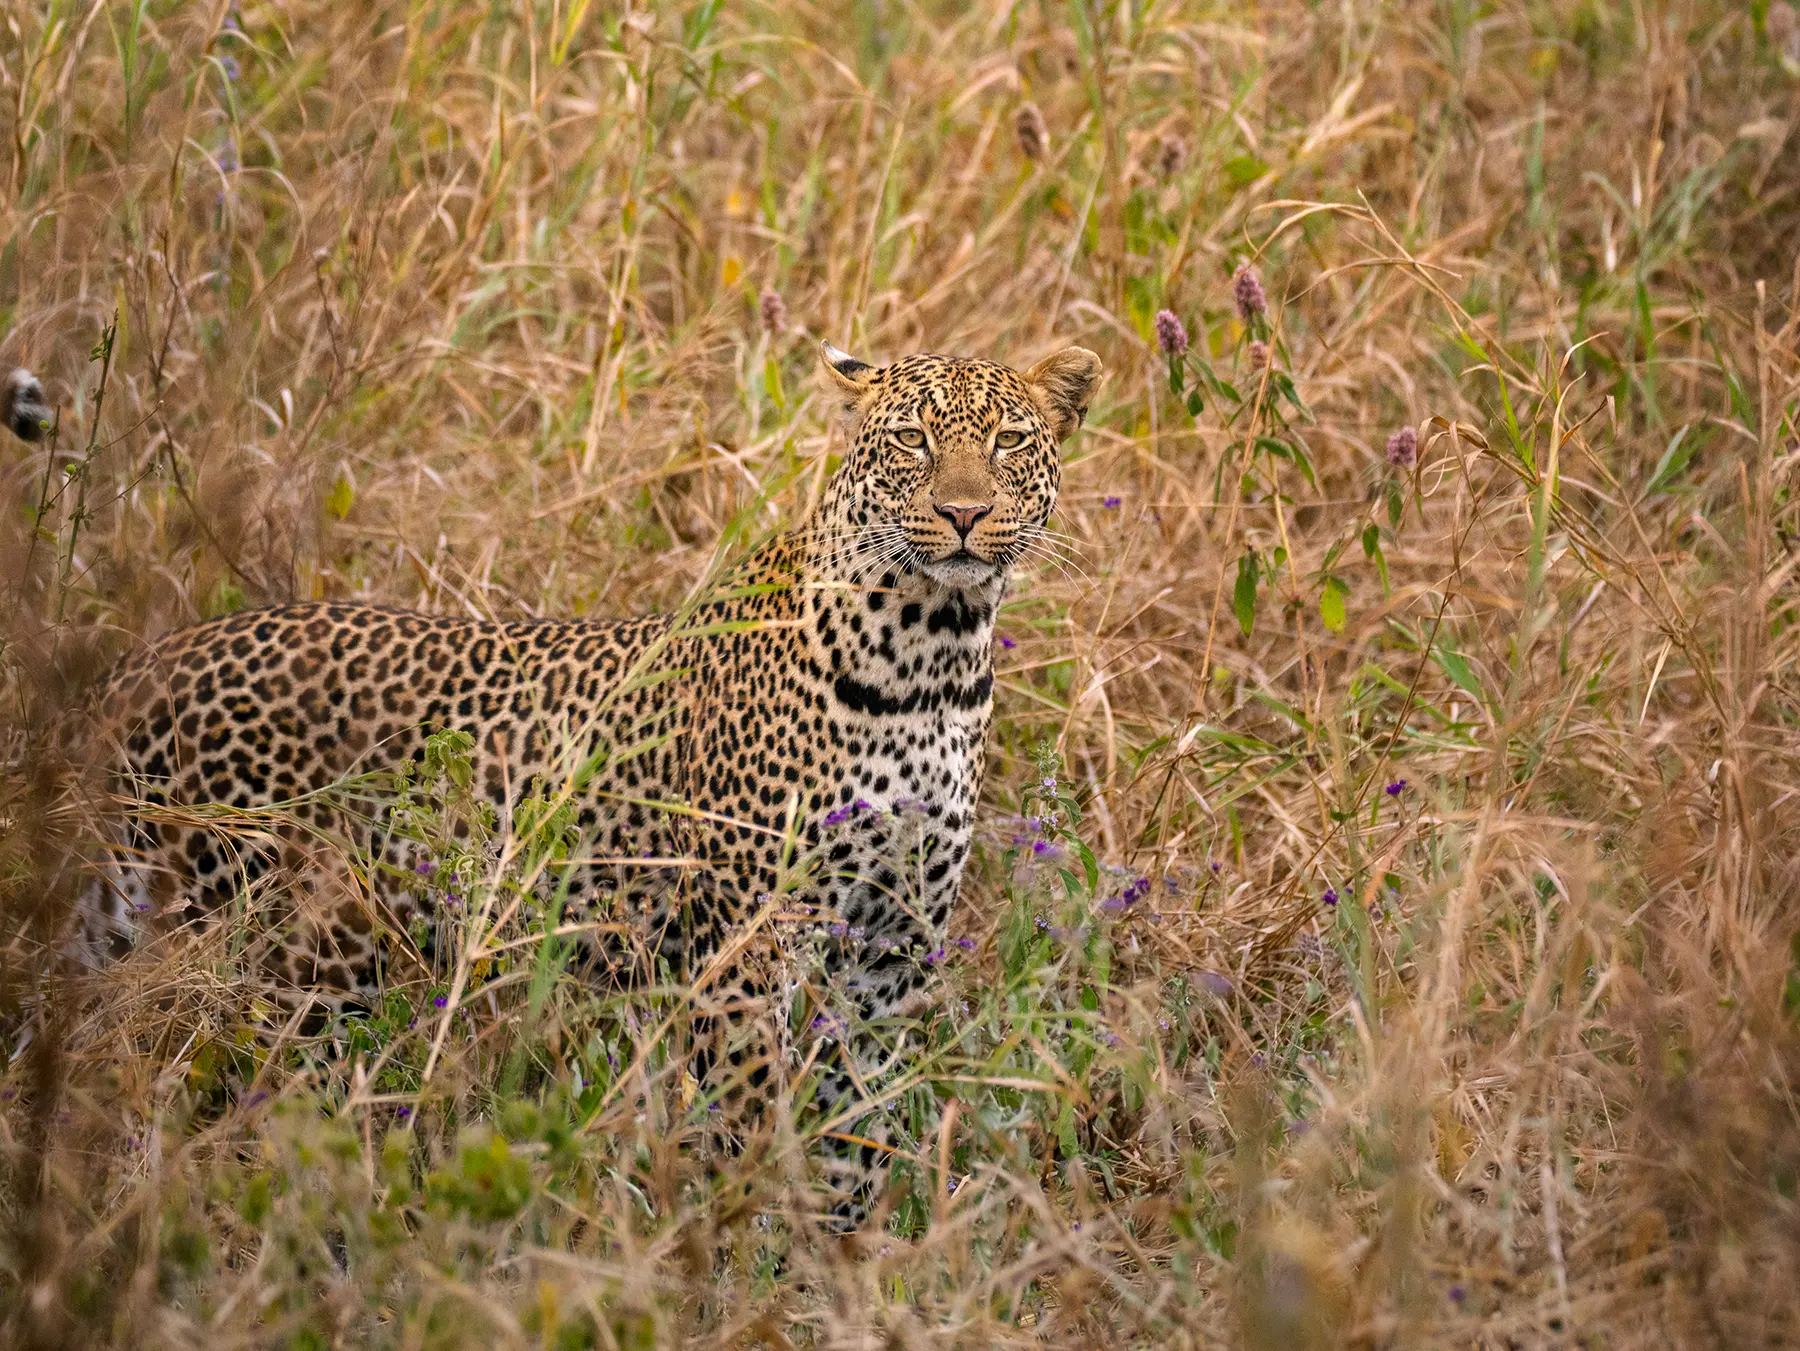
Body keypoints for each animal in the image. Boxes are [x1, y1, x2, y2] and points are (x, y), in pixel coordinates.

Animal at [55, 341, 1103, 1220]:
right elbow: (753, 1114)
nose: (963, 515)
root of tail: (134, 668)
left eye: (1009, 441)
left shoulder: (891, 943)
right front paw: (754, 1245)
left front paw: (845, 1256)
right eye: (912, 441)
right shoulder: (746, 942)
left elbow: (858, 1120)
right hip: (263, 949)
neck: (933, 660)